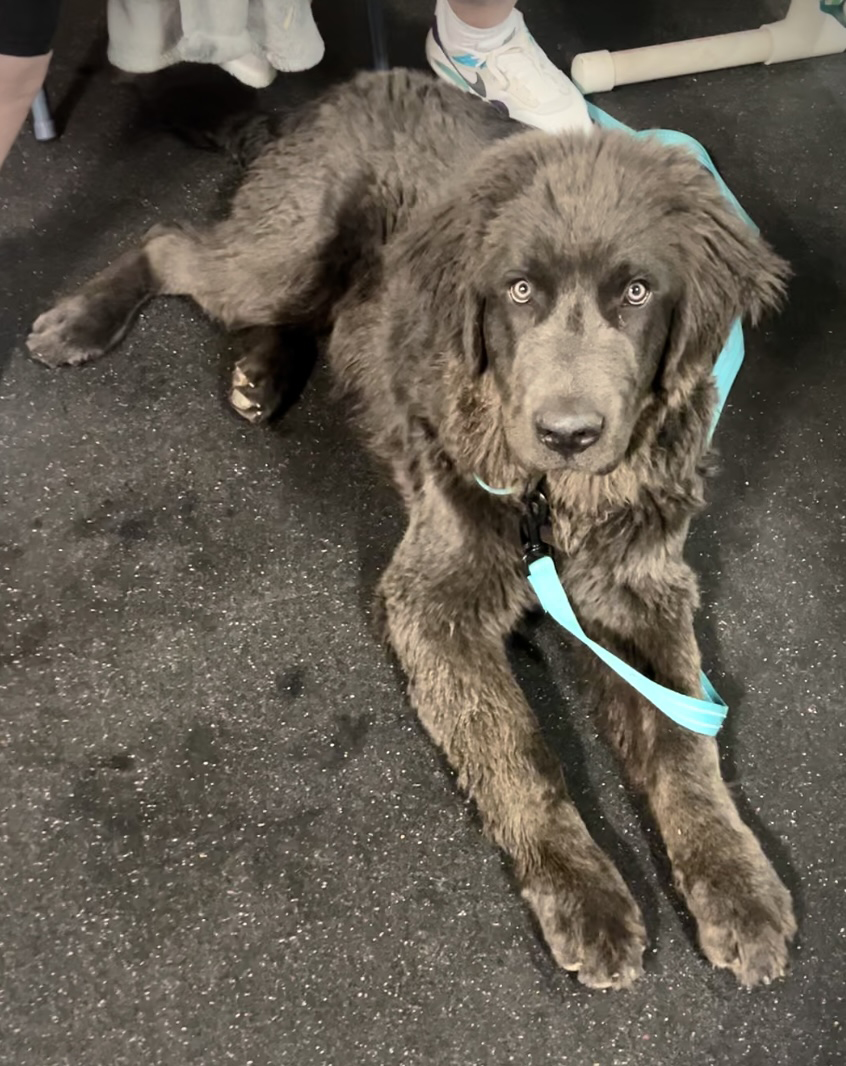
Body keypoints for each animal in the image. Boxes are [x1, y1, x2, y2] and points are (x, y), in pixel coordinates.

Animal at [24, 68, 792, 989]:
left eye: (638, 293)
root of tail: (343, 90)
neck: (554, 503)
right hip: (288, 248)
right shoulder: (433, 600)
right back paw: (84, 321)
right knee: (172, 243)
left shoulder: (645, 592)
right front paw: (584, 894)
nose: (567, 432)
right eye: (518, 290)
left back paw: (261, 374)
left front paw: (736, 882)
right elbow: (516, 750)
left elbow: (684, 742)